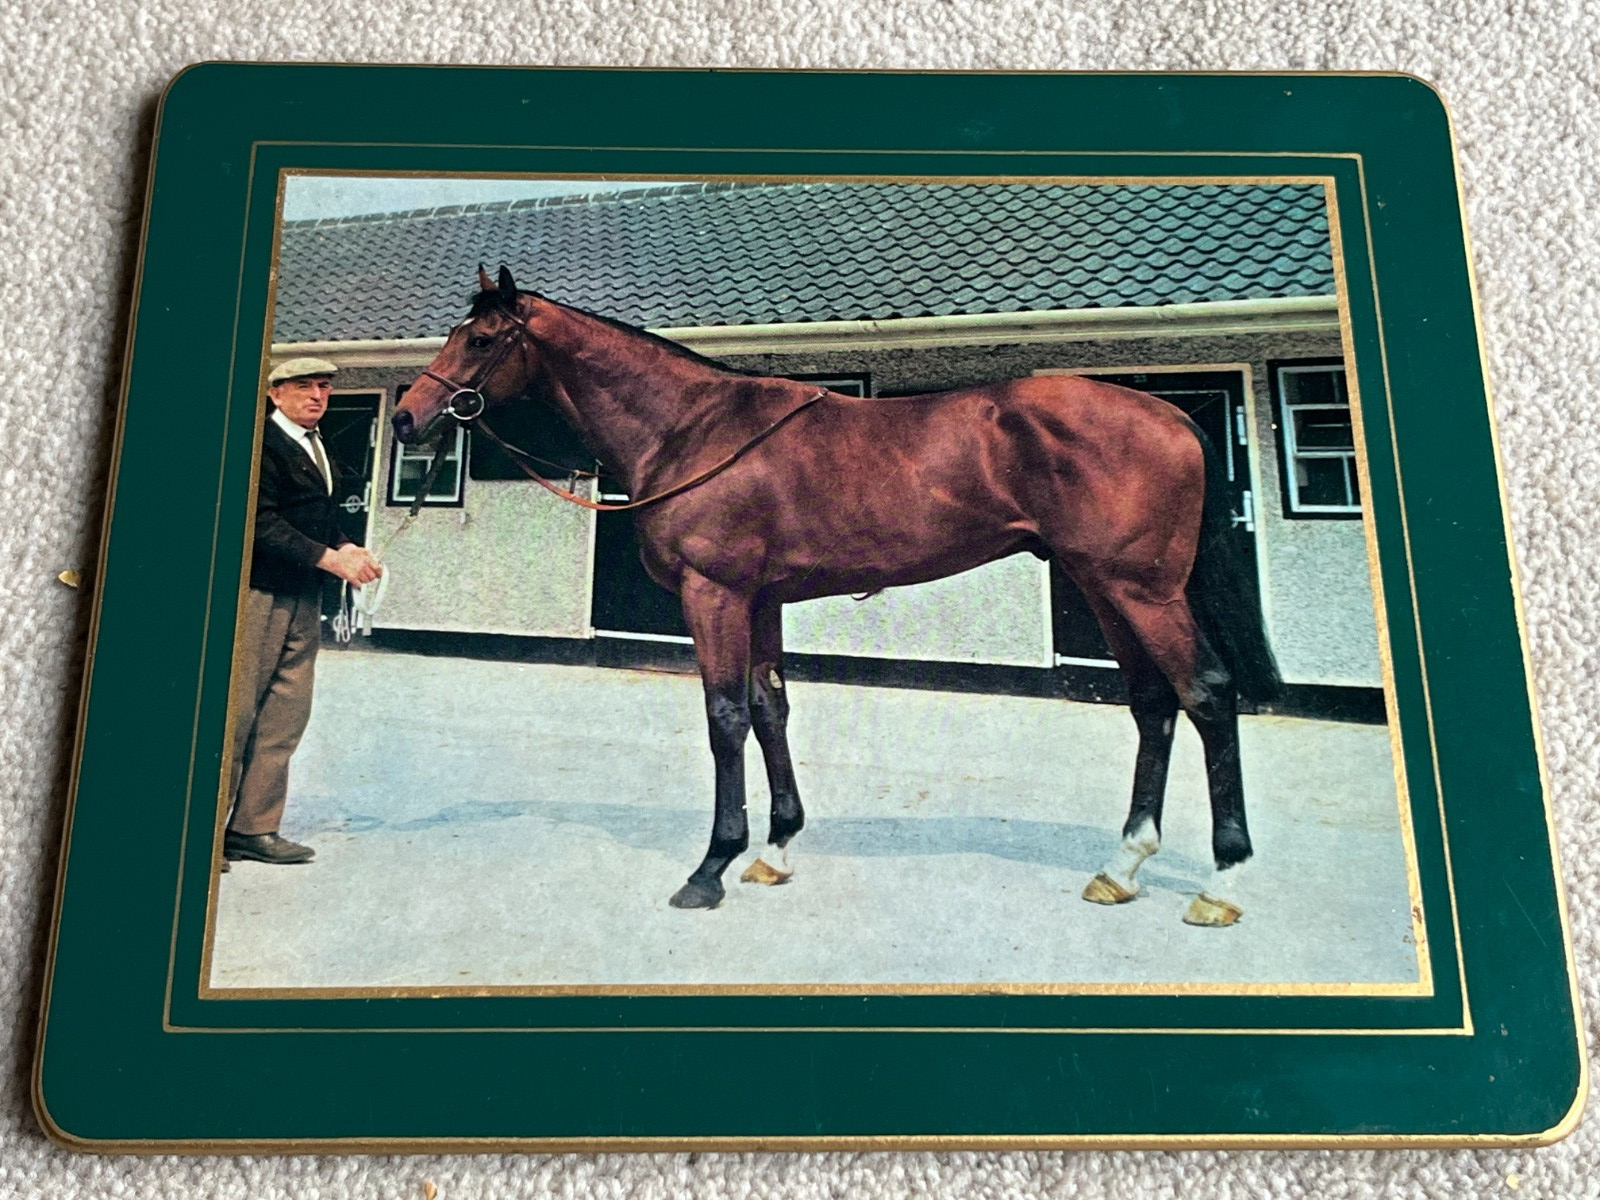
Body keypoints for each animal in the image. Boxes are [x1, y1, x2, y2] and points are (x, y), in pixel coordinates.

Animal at [393, 265, 1282, 926]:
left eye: (480, 339)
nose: (406, 417)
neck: (693, 428)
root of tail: (1168, 413)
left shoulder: (714, 596)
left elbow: (724, 717)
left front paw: (711, 867)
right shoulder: (760, 600)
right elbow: (770, 708)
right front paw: (775, 849)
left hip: (1142, 591)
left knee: (1205, 694)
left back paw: (1222, 882)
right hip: (1103, 585)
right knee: (1152, 705)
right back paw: (1122, 866)